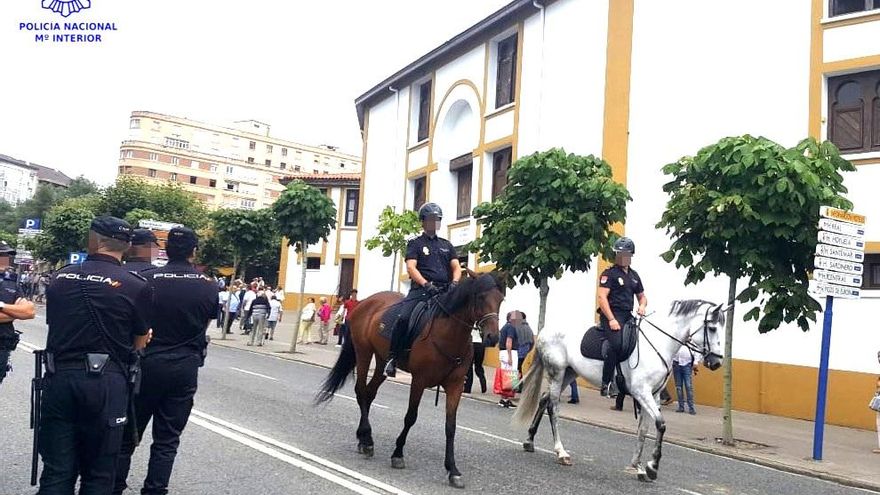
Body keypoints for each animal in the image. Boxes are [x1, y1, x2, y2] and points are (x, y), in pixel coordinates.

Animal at [314, 270, 502, 490]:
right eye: (480, 297)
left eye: (501, 299)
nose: (492, 337)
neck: (448, 334)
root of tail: (364, 302)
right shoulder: (419, 380)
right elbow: (410, 417)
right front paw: (397, 454)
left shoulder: (455, 385)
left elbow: (451, 427)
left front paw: (453, 470)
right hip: (363, 353)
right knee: (361, 392)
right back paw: (367, 440)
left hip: (381, 361)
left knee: (369, 393)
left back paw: (364, 438)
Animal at [512, 300, 724, 482]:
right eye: (712, 328)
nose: (716, 362)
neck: (658, 343)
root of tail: (544, 331)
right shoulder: (641, 392)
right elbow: (661, 424)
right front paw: (652, 467)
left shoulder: (653, 395)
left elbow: (644, 430)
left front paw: (639, 467)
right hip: (557, 373)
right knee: (553, 408)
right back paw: (561, 452)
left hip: (569, 374)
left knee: (544, 399)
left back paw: (529, 441)